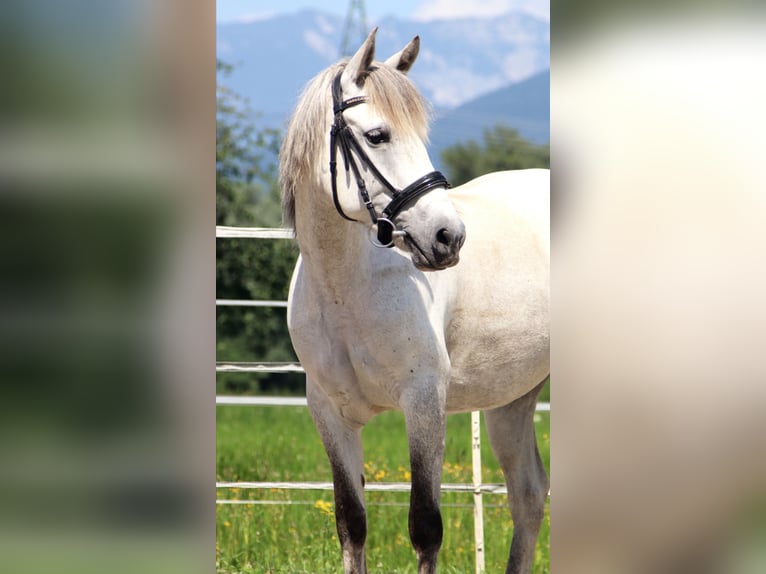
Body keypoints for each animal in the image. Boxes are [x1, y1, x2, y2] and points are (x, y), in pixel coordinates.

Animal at [279, 28, 549, 574]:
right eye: (377, 136)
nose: (449, 237)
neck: (346, 292)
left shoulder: (424, 400)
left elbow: (425, 528)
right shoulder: (329, 412)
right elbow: (352, 525)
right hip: (512, 400)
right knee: (528, 496)